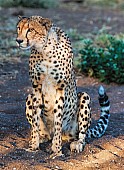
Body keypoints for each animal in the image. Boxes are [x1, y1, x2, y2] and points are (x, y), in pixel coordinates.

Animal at [16, 15, 110, 157]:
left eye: (30, 29)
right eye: (19, 28)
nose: (18, 41)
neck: (44, 49)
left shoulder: (60, 89)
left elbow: (58, 120)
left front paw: (57, 150)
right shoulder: (36, 88)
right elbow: (36, 120)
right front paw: (33, 146)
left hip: (84, 98)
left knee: (81, 134)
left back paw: (77, 143)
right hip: (29, 97)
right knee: (43, 131)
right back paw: (42, 137)